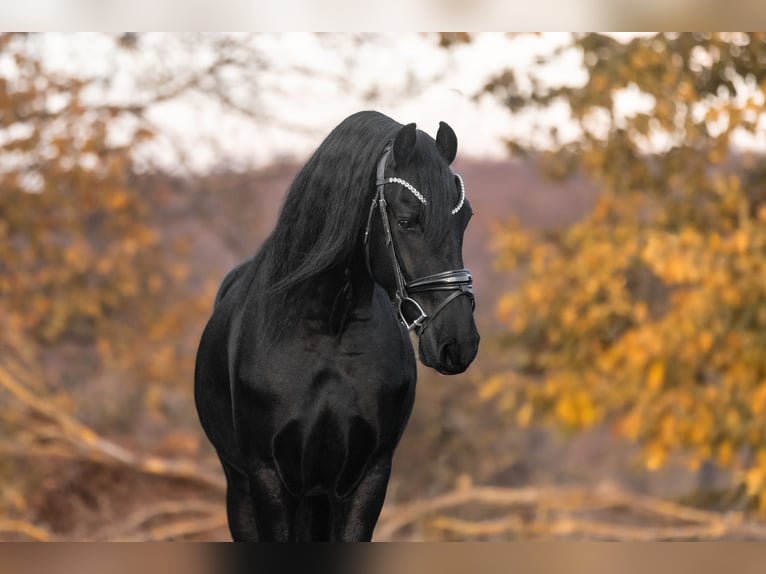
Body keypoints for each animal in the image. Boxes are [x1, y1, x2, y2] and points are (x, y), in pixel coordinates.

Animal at [194, 110, 480, 541]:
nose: (459, 341)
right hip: (242, 489)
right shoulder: (267, 477)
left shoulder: (368, 476)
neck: (328, 330)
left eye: (465, 218)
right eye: (406, 220)